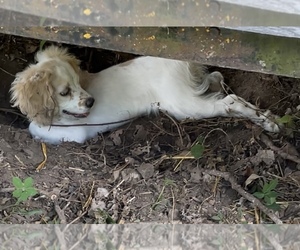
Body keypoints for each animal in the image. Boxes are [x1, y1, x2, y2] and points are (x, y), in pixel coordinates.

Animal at [9, 46, 282, 144]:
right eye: (65, 92)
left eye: (78, 83)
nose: (91, 101)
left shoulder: (75, 134)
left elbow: (34, 129)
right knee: (215, 77)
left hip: (184, 106)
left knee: (230, 100)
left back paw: (269, 122)